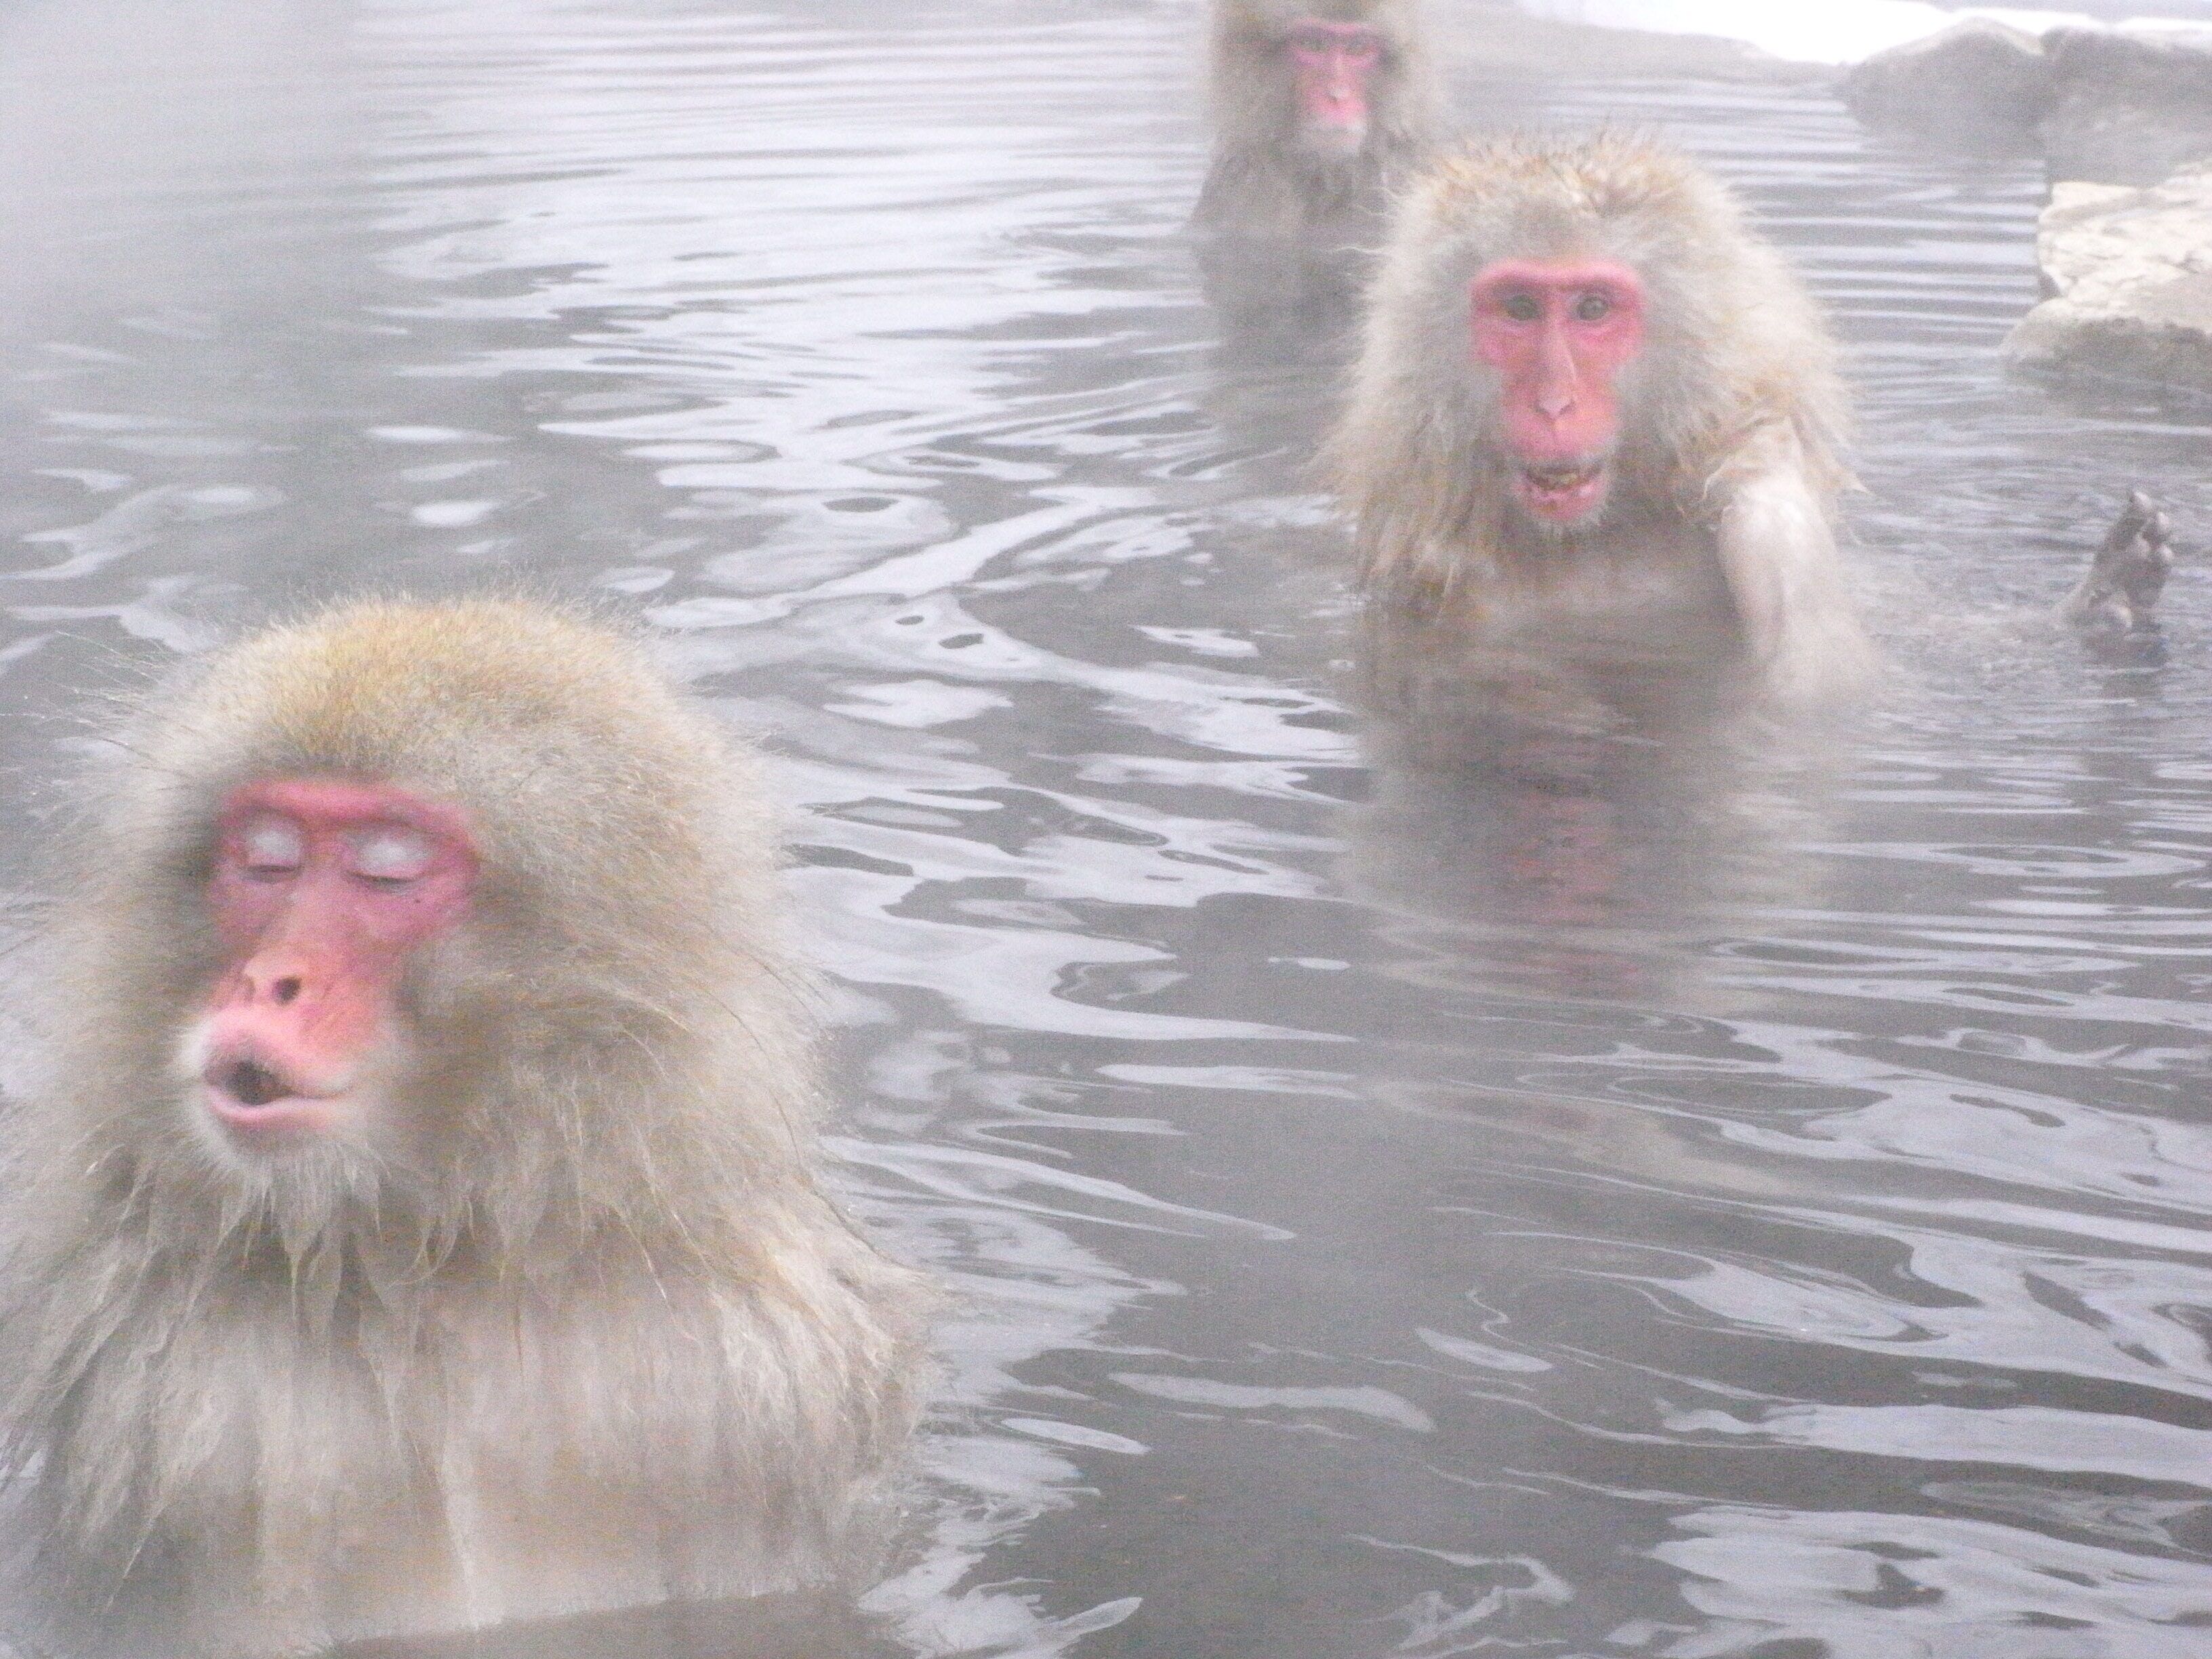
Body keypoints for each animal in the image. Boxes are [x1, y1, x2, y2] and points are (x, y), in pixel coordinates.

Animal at [0, 599, 935, 1659]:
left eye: (387, 871)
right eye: (268, 860)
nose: (268, 981)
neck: (436, 1268)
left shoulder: (758, 1380)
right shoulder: (159, 1413)